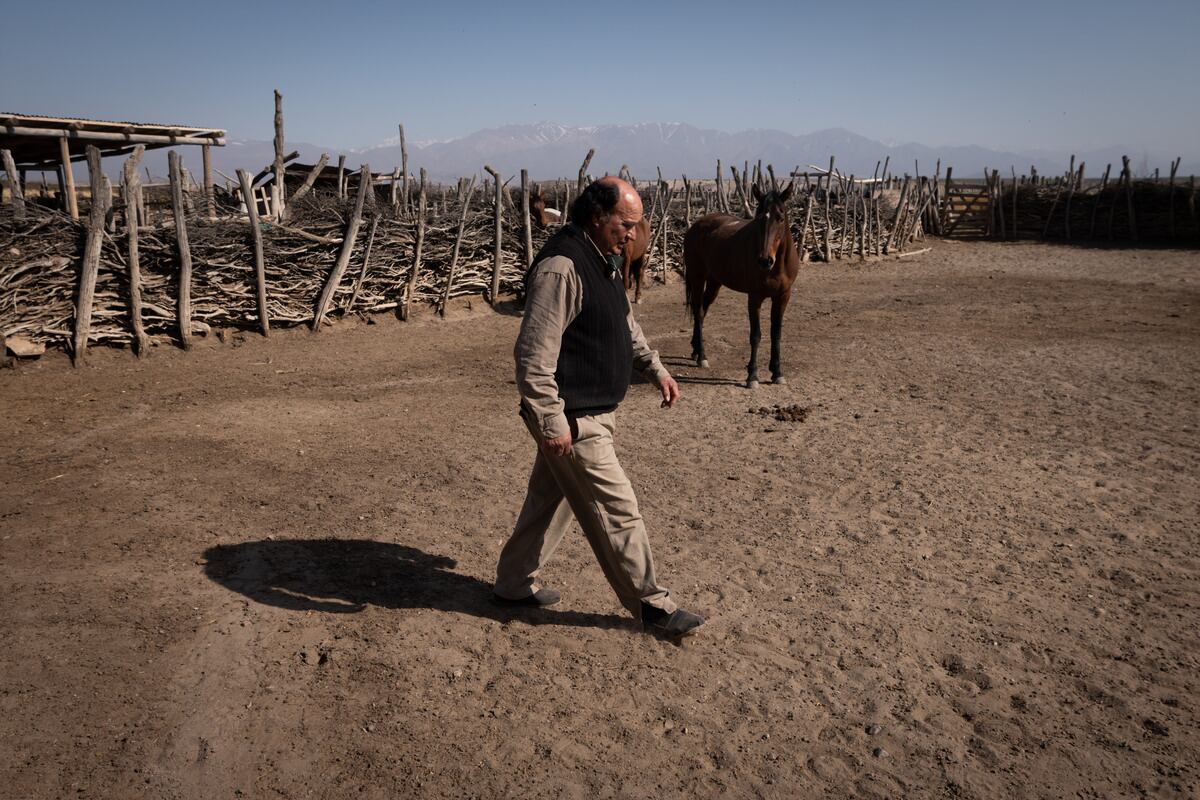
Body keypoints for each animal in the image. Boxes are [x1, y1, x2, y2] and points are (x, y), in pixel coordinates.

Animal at [686, 185, 796, 391]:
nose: (764, 260)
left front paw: (777, 372)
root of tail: (696, 225)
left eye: (780, 217)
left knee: (702, 312)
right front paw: (752, 376)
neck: (776, 267)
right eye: (758, 217)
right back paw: (702, 356)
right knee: (698, 312)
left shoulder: (783, 297)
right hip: (697, 278)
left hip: (714, 282)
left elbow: (776, 334)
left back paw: (696, 351)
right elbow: (756, 336)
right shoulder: (754, 298)